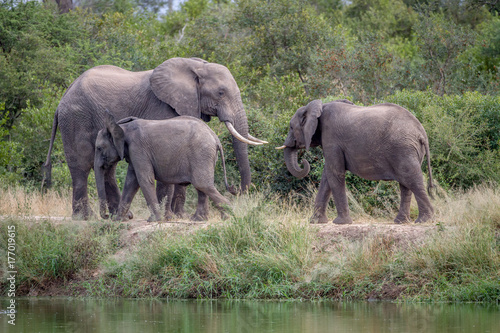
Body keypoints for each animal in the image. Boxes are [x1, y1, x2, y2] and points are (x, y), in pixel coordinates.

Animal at [94, 110, 235, 222]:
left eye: (99, 148)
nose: (106, 216)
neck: (122, 127)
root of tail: (216, 138)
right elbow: (130, 183)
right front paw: (118, 220)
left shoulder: (138, 148)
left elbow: (145, 180)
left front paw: (154, 220)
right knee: (202, 186)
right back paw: (199, 219)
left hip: (201, 153)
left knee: (202, 184)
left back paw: (229, 215)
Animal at [276, 98, 436, 223]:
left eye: (291, 127)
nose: (304, 161)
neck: (319, 106)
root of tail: (422, 133)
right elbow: (327, 176)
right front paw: (316, 222)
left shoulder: (332, 139)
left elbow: (335, 174)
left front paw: (341, 223)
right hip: (407, 149)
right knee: (405, 183)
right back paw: (401, 221)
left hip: (403, 148)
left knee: (411, 179)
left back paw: (424, 220)